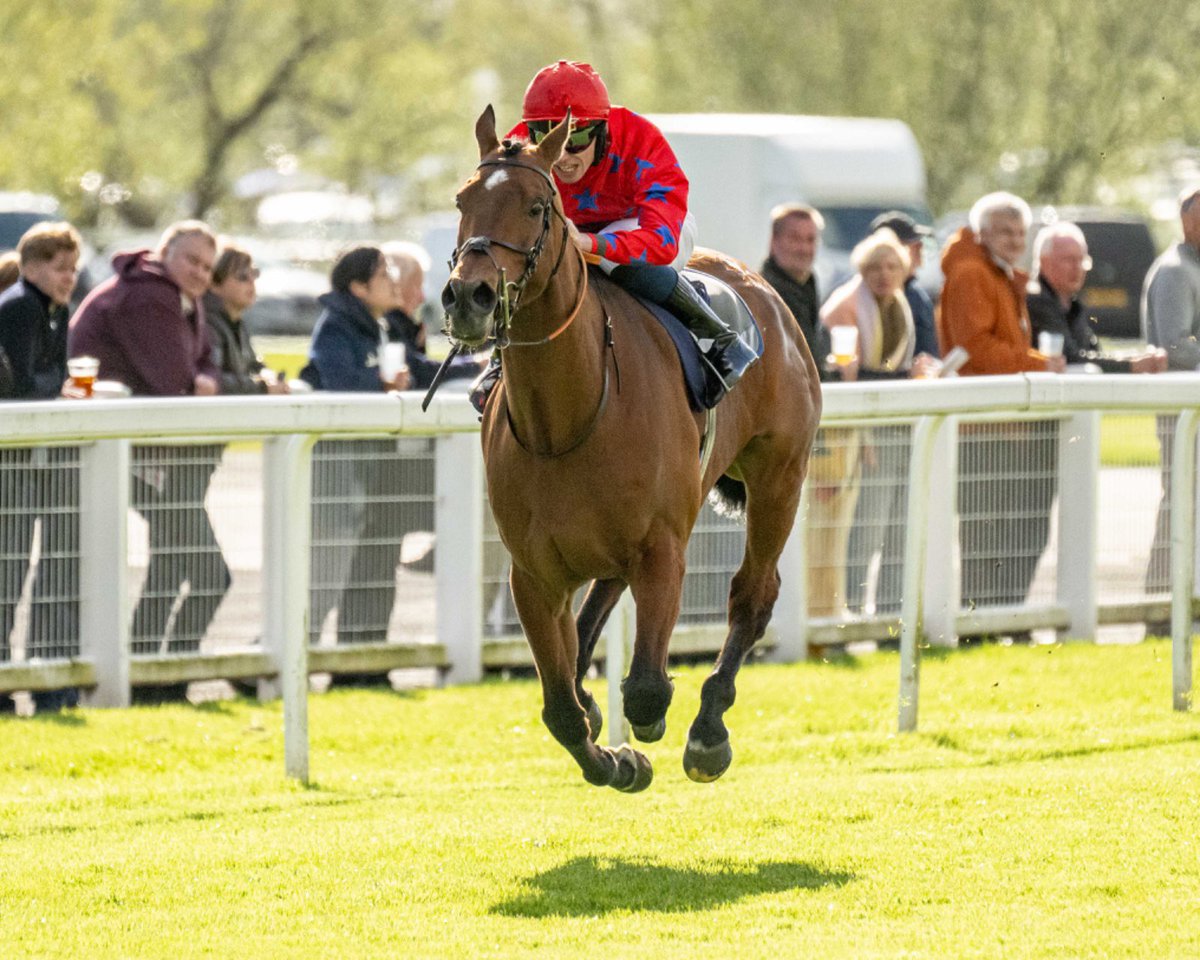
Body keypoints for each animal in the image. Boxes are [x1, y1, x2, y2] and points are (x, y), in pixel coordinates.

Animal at [444, 108, 825, 792]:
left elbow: (647, 689)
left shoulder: (662, 549)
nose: (468, 296)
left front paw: (653, 733)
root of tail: (764, 288)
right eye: (462, 200)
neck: (566, 419)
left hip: (779, 476)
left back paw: (708, 728)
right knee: (600, 601)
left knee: (753, 595)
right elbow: (560, 710)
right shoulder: (532, 575)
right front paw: (615, 757)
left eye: (538, 207)